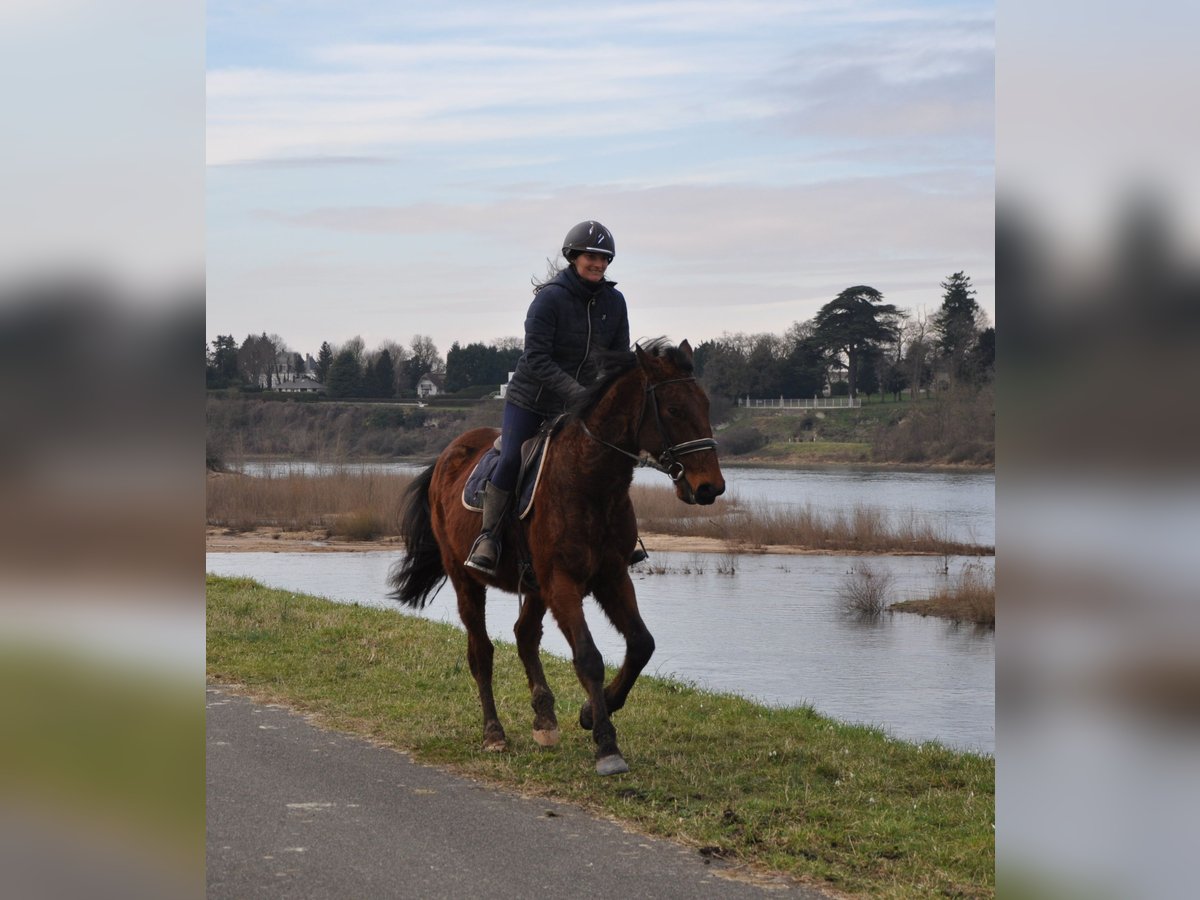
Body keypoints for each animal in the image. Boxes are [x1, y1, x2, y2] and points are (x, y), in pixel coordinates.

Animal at [386, 340, 720, 777]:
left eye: (706, 405)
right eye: (675, 409)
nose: (710, 486)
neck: (591, 482)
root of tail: (447, 455)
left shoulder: (611, 576)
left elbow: (641, 644)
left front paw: (591, 712)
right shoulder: (562, 581)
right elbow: (589, 657)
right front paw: (606, 744)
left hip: (534, 585)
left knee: (525, 635)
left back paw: (545, 720)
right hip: (466, 579)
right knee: (481, 652)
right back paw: (494, 733)